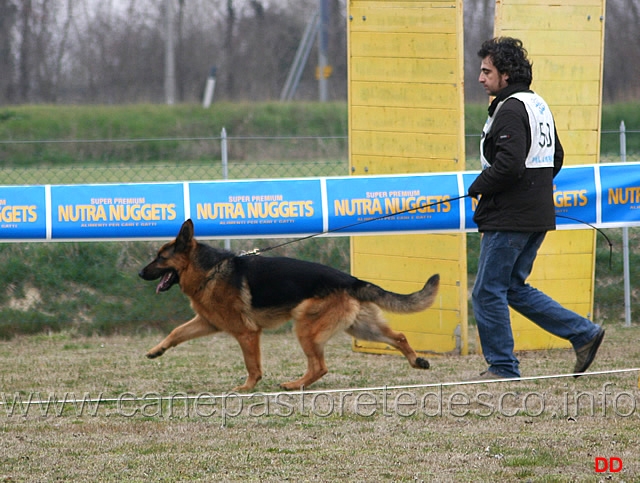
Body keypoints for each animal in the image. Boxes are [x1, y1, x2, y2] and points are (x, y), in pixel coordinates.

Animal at [139, 221, 440, 392]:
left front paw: (246, 387)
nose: (140, 273)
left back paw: (295, 384)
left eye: (160, 258)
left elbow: (252, 365)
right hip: (361, 329)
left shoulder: (246, 333)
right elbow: (176, 333)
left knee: (320, 366)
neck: (210, 270)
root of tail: (351, 280)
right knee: (398, 336)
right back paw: (417, 361)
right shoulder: (207, 322)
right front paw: (156, 350)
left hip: (305, 326)